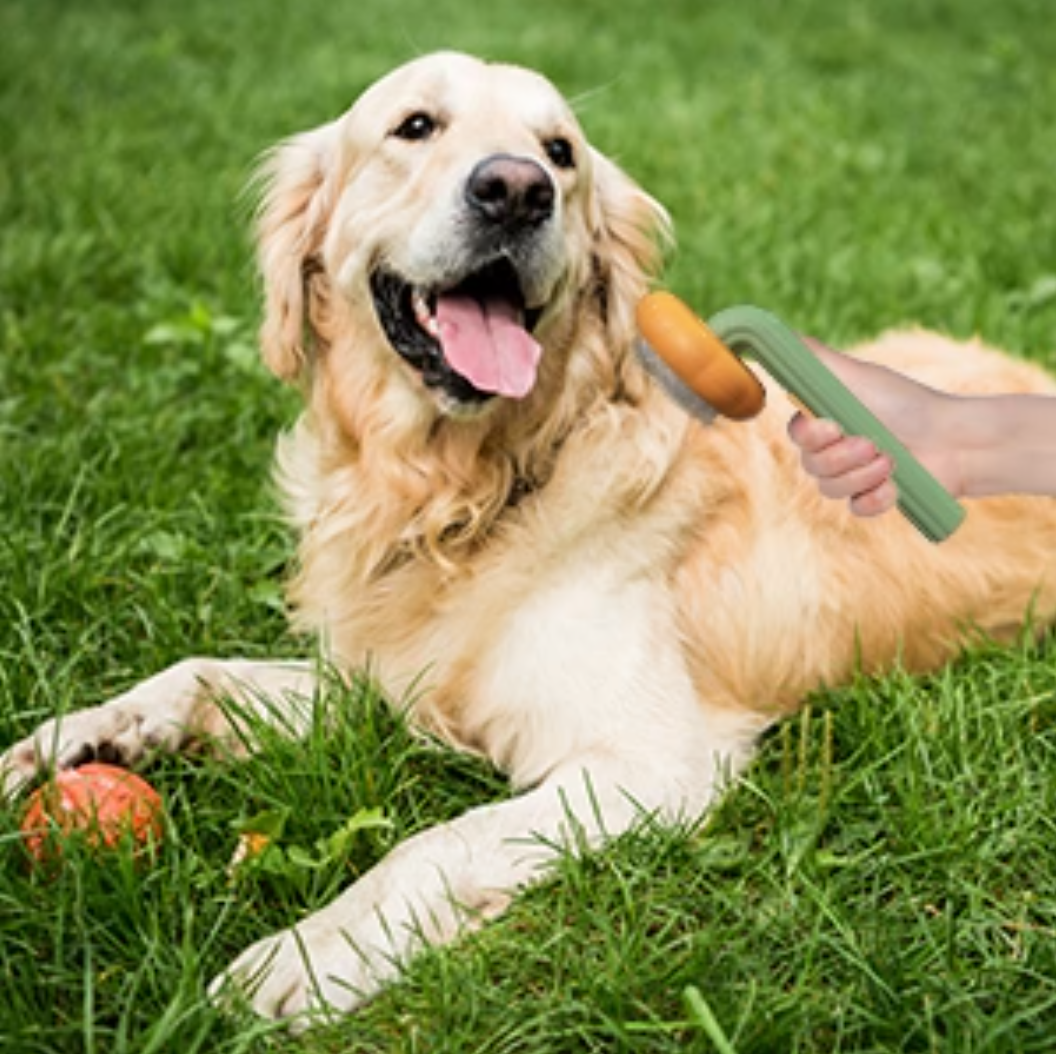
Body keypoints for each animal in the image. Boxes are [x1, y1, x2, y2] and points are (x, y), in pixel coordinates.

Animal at [6, 53, 1056, 1026]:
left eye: (560, 153)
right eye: (415, 125)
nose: (515, 189)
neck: (464, 495)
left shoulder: (647, 760)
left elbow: (434, 843)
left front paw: (307, 954)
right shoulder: (378, 679)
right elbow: (201, 670)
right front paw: (81, 734)